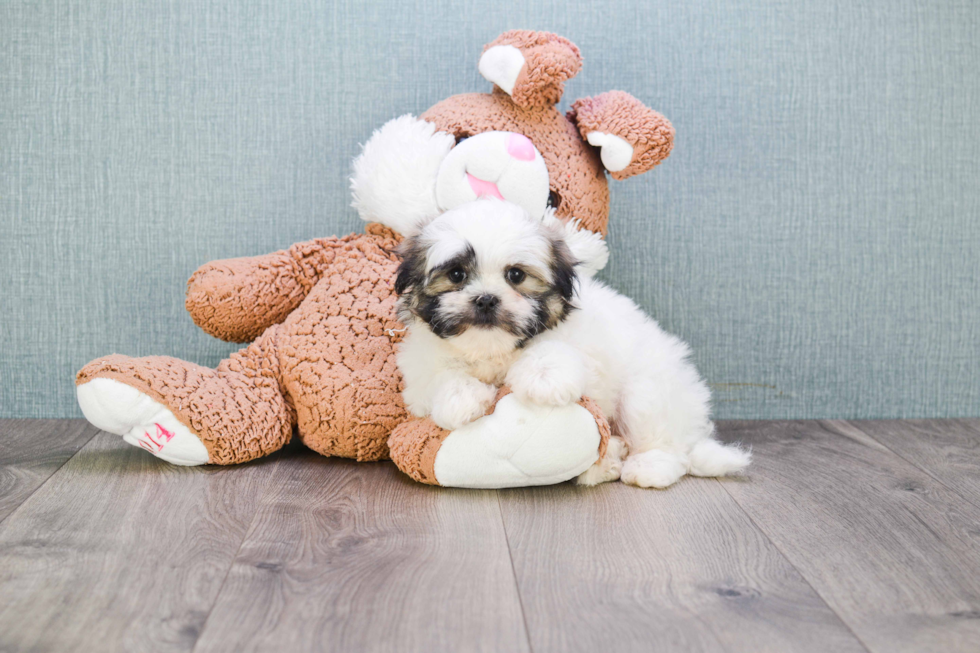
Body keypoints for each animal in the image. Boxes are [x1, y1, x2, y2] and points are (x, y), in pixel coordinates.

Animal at [394, 201, 748, 486]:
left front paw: (544, 379)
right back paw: (608, 461)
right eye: (456, 274)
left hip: (650, 394)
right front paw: (460, 399)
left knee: (666, 443)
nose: (486, 299)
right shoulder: (420, 367)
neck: (492, 349)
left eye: (516, 275)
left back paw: (648, 467)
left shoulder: (580, 344)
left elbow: (554, 351)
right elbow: (440, 377)